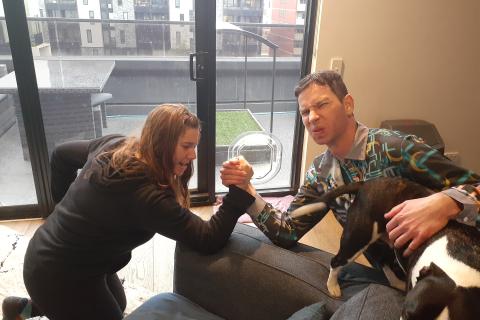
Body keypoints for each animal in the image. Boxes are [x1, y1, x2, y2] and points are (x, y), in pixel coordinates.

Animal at [290, 178, 480, 320]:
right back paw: (333, 286)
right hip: (358, 239)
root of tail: (367, 183)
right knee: (337, 261)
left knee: (383, 261)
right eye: (406, 314)